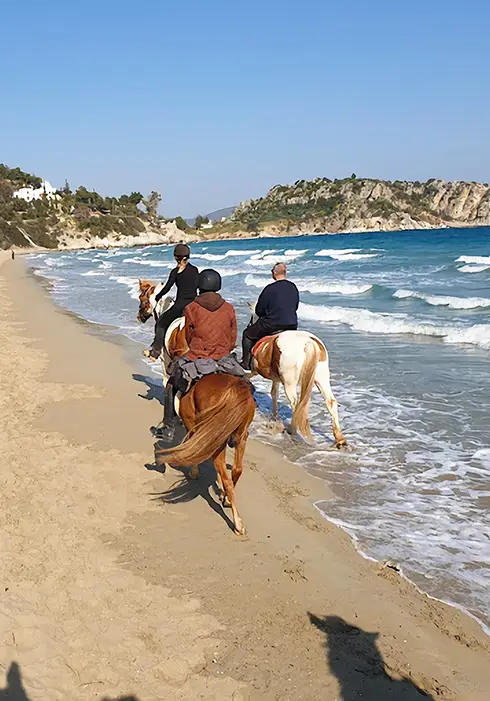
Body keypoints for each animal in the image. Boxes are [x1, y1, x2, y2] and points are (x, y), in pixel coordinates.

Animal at [156, 373, 255, 535]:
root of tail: (234, 389)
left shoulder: (194, 427)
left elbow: (197, 450)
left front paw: (194, 472)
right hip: (241, 437)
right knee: (236, 470)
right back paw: (227, 499)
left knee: (226, 476)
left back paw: (238, 524)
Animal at [247, 312, 347, 448]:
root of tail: (309, 342)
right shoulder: (276, 379)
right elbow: (274, 394)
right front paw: (274, 418)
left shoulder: (254, 372)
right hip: (321, 378)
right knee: (330, 402)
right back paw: (340, 439)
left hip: (289, 382)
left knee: (295, 403)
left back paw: (292, 430)